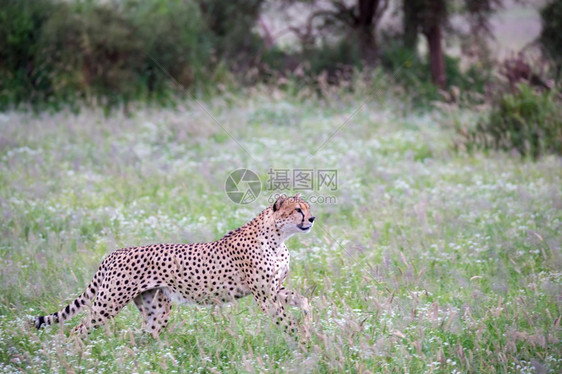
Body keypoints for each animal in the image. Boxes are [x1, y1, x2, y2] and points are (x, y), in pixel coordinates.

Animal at [34, 194, 316, 338]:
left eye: (308, 207)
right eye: (298, 210)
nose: (313, 218)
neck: (278, 238)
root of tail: (116, 252)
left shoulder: (274, 288)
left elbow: (301, 299)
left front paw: (308, 319)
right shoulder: (264, 295)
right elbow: (285, 320)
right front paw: (303, 341)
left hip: (157, 309)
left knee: (145, 335)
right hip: (108, 303)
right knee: (78, 329)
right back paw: (74, 356)